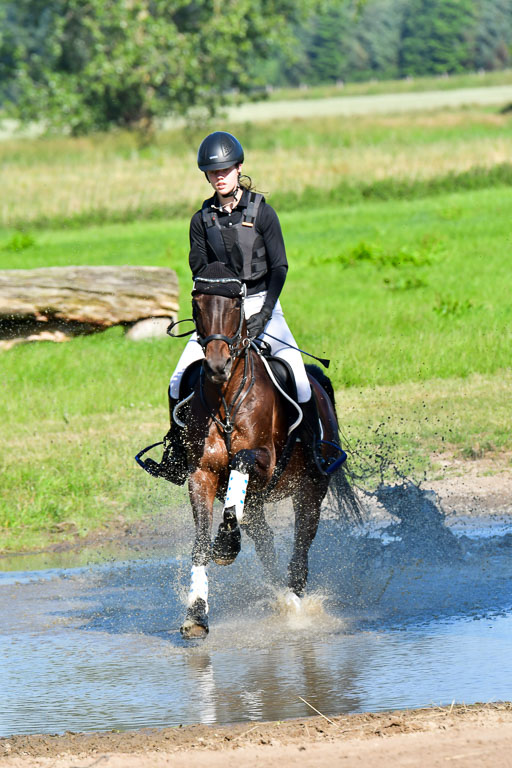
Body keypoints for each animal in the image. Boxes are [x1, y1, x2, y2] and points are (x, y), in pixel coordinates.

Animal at [139, 272, 361, 638]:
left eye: (236, 305)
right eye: (196, 303)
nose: (218, 365)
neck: (226, 398)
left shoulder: (266, 463)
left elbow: (241, 461)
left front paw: (227, 543)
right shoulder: (201, 473)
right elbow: (201, 543)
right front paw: (196, 614)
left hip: (311, 489)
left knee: (301, 545)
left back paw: (295, 601)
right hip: (257, 502)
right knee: (265, 543)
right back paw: (278, 593)